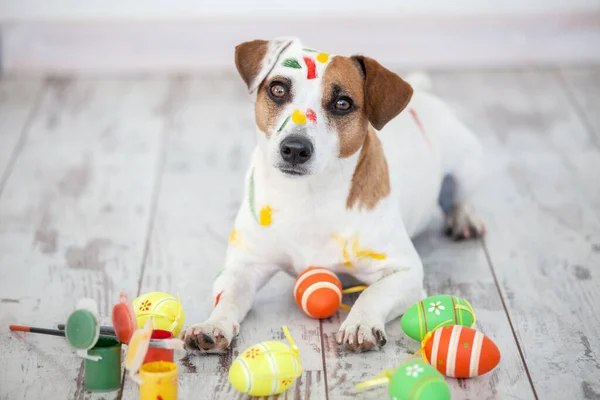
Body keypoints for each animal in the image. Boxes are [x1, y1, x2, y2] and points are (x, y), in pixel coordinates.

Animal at [180, 37, 486, 354]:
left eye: (342, 104)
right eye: (278, 89)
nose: (295, 148)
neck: (308, 196)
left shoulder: (406, 272)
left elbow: (372, 293)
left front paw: (360, 324)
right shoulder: (243, 267)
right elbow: (228, 297)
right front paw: (212, 325)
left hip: (468, 167)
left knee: (459, 197)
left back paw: (464, 219)